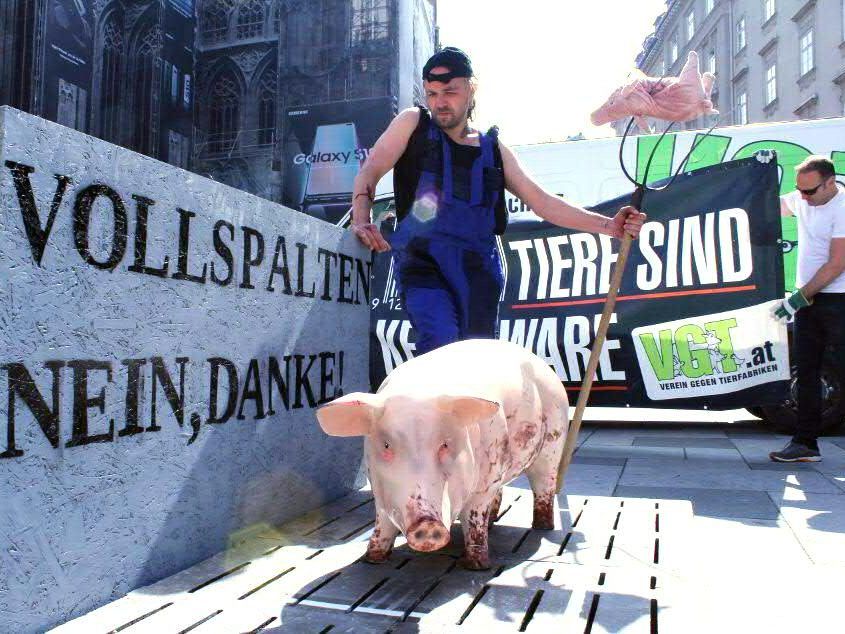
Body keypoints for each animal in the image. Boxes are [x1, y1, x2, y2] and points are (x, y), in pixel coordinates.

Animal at [314, 338, 568, 572]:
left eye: (445, 444)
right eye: (386, 445)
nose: (427, 525)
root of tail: (543, 365)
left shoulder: (484, 485)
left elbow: (474, 519)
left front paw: (476, 566)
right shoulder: (379, 493)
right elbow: (383, 521)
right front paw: (372, 559)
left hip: (553, 443)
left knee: (543, 485)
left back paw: (542, 526)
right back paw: (494, 521)